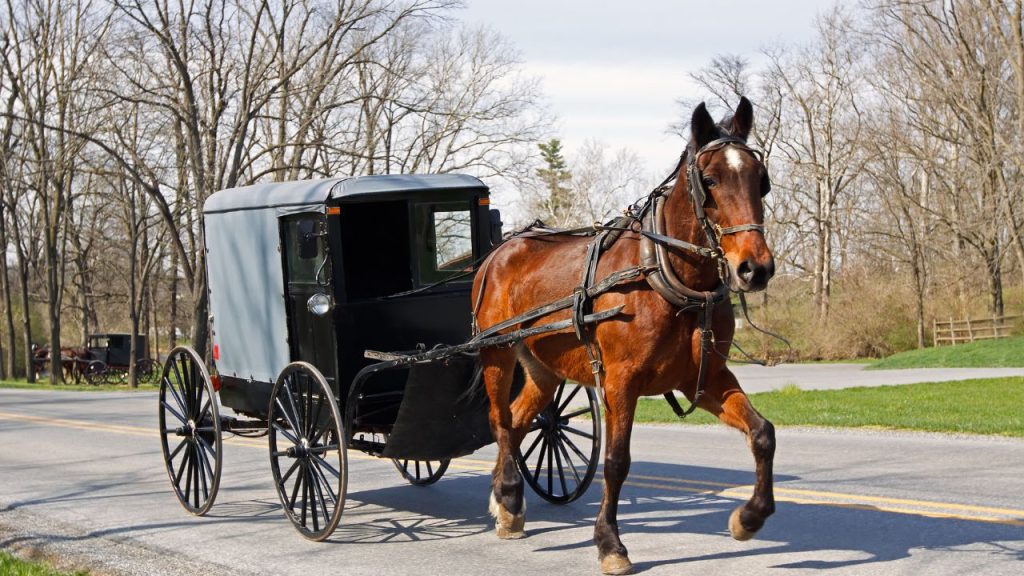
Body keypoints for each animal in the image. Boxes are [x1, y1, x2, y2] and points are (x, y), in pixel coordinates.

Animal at [472, 97, 776, 574]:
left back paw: (508, 505)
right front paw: (610, 544)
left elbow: (763, 433)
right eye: (709, 180)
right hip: (497, 353)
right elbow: (616, 462)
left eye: (760, 181)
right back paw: (507, 493)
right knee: (500, 420)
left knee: (520, 421)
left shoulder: (705, 377)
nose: (755, 268)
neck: (665, 276)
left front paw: (749, 518)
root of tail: (499, 251)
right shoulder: (620, 381)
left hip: (542, 367)